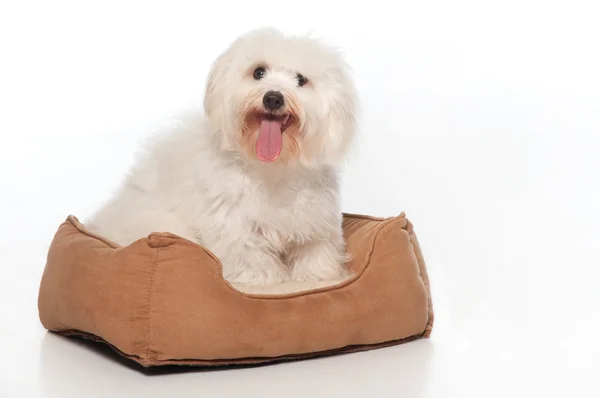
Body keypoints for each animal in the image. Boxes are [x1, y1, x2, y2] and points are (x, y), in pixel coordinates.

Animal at [86, 27, 358, 286]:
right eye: (258, 72)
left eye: (301, 79)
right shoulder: (236, 224)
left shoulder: (314, 220)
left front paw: (318, 276)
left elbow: (315, 252)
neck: (271, 167)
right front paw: (263, 280)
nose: (273, 97)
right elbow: (249, 255)